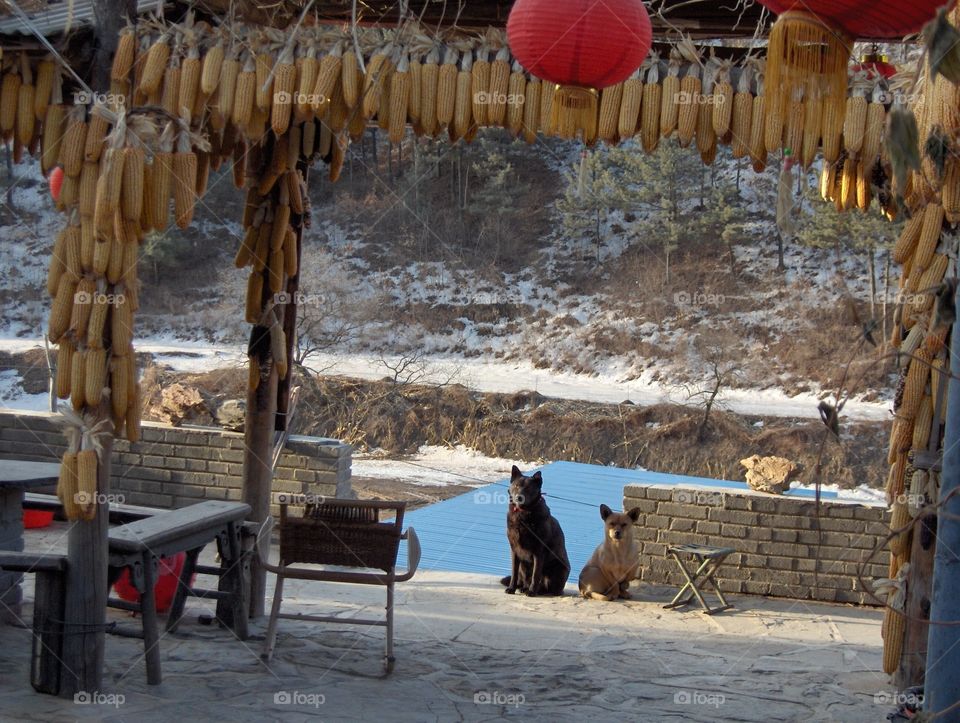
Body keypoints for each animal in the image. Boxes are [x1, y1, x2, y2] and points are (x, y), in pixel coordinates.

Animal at [498, 466, 568, 596]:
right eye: (516, 486)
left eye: (528, 488)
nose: (519, 497)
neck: (523, 514)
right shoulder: (514, 550)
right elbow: (514, 573)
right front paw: (511, 588)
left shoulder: (539, 552)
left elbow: (536, 575)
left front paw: (531, 592)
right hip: (523, 567)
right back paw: (523, 587)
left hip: (558, 569)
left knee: (549, 588)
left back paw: (535, 590)